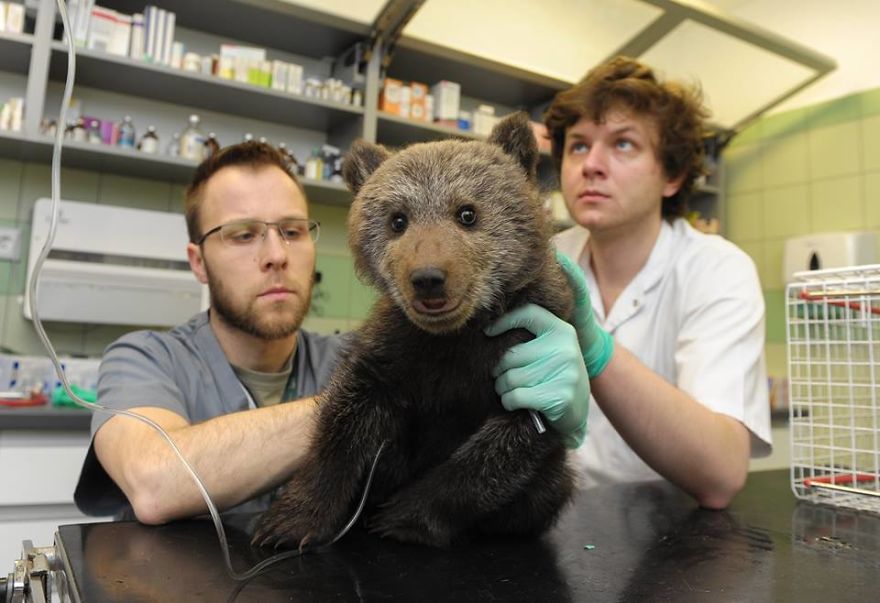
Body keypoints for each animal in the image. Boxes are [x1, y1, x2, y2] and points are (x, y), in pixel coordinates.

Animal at [252, 112, 576, 550]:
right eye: (398, 220)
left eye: (467, 213)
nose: (428, 278)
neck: (458, 334)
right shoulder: (393, 348)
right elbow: (343, 423)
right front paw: (291, 519)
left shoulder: (533, 353)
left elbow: (503, 449)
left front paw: (403, 516)